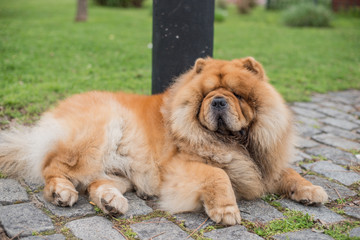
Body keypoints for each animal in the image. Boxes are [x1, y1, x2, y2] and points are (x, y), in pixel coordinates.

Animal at [0, 57, 328, 225]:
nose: (218, 101)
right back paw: (62, 193)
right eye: (206, 95)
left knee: (95, 184)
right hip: (94, 138)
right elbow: (218, 173)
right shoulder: (178, 167)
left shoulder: (264, 164)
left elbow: (288, 173)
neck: (236, 144)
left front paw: (311, 190)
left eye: (236, 94)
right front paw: (226, 210)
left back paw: (111, 203)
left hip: (118, 173)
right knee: (53, 168)